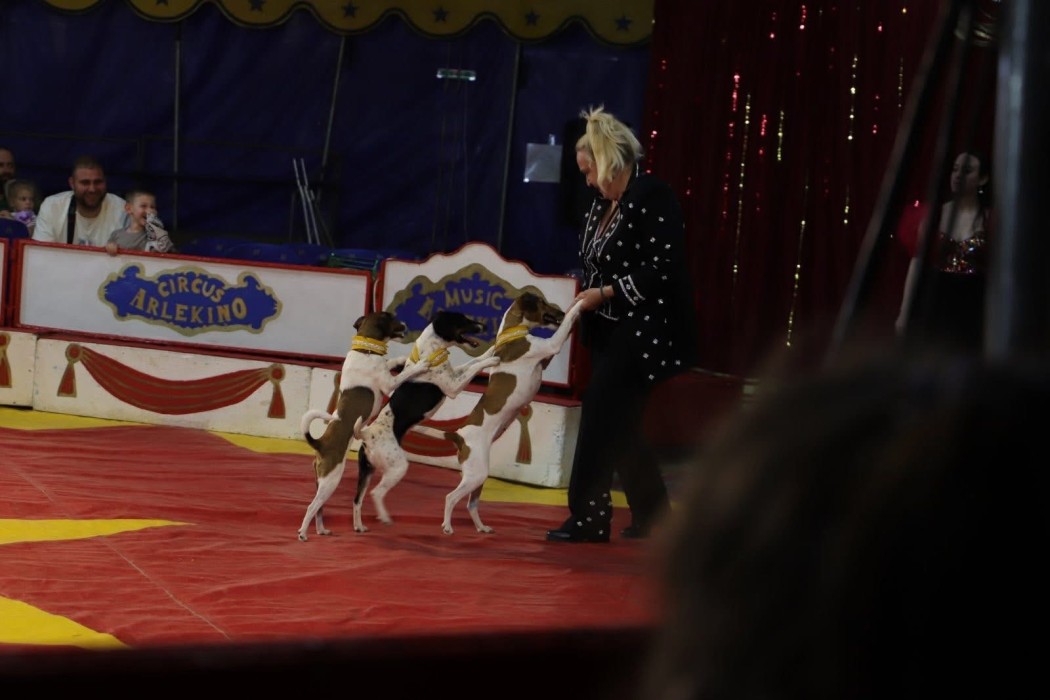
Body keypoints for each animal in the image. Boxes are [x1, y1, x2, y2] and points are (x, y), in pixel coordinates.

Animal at [297, 311, 428, 541]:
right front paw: (419, 365)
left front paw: (400, 359)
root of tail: (320, 444)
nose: (406, 324)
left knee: (319, 509)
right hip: (330, 481)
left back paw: (321, 530)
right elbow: (403, 375)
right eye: (392, 318)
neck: (365, 349)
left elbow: (391, 362)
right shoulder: (389, 384)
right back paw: (303, 533)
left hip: (321, 483)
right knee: (312, 507)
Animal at [350, 311, 501, 532]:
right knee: (376, 493)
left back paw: (359, 526)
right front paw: (492, 361)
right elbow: (475, 366)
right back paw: (385, 517)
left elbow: (473, 363)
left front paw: (491, 350)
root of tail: (367, 434)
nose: (485, 327)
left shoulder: (454, 374)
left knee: (358, 500)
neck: (432, 348)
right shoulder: (453, 386)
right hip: (397, 467)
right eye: (463, 321)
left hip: (366, 471)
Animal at [440, 292, 583, 535]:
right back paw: (448, 526)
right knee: (451, 497)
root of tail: (459, 436)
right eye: (543, 302)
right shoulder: (551, 345)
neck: (512, 331)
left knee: (471, 504)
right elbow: (564, 328)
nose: (560, 311)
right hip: (476, 474)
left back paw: (482, 528)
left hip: (478, 476)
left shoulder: (545, 358)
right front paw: (581, 304)